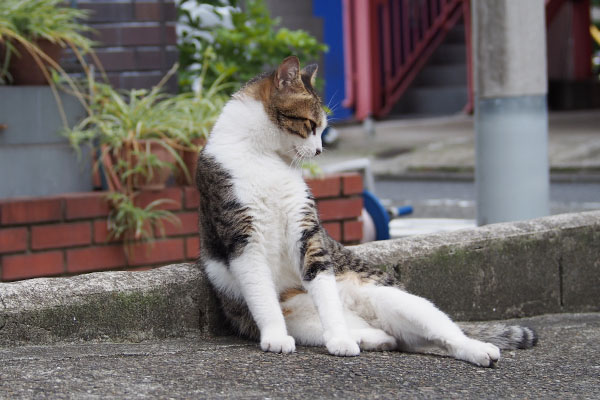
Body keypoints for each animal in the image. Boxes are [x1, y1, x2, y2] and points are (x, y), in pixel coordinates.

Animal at [195, 56, 536, 366]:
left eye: (323, 129)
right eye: (310, 125)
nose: (319, 150)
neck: (264, 156)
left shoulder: (306, 231)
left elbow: (323, 287)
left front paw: (339, 340)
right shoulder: (243, 237)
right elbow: (263, 297)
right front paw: (277, 338)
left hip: (396, 300)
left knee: (446, 334)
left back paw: (478, 350)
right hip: (302, 320)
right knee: (386, 335)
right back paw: (376, 339)